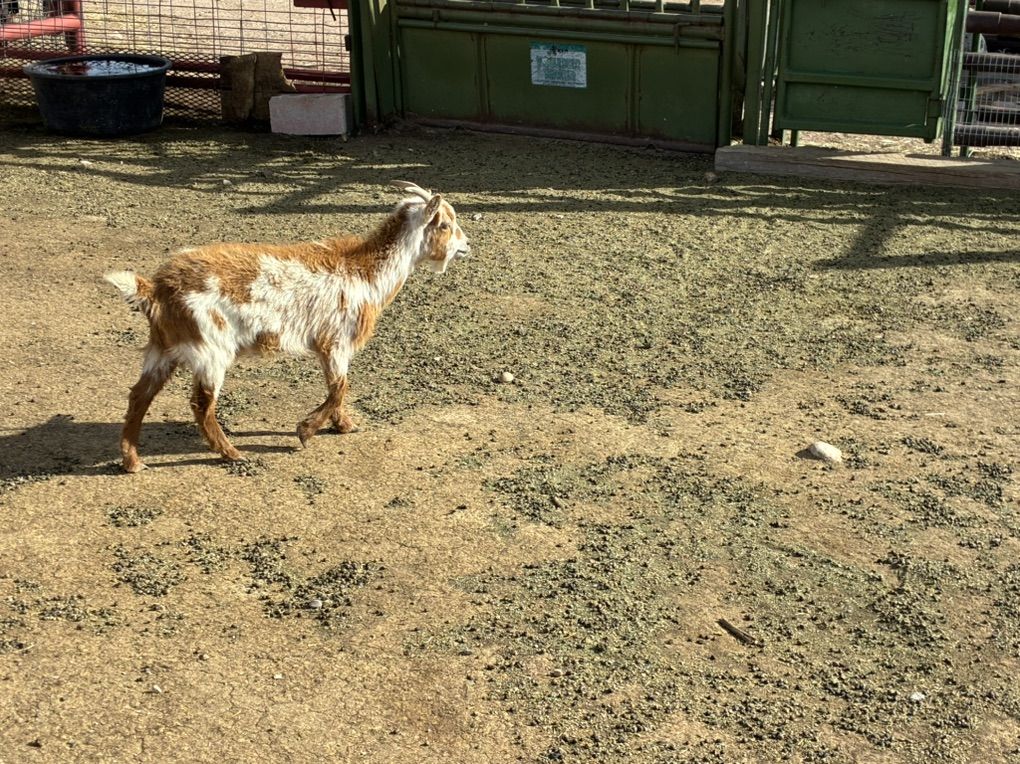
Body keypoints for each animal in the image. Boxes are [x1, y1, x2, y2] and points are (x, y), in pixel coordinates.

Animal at [104, 180, 470, 473]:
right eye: (445, 224)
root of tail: (155, 289)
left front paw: (343, 425)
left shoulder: (326, 346)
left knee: (139, 397)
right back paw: (231, 453)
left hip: (163, 348)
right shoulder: (335, 340)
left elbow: (335, 387)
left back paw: (132, 461)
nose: (466, 245)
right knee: (201, 404)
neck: (365, 273)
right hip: (210, 348)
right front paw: (306, 431)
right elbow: (340, 387)